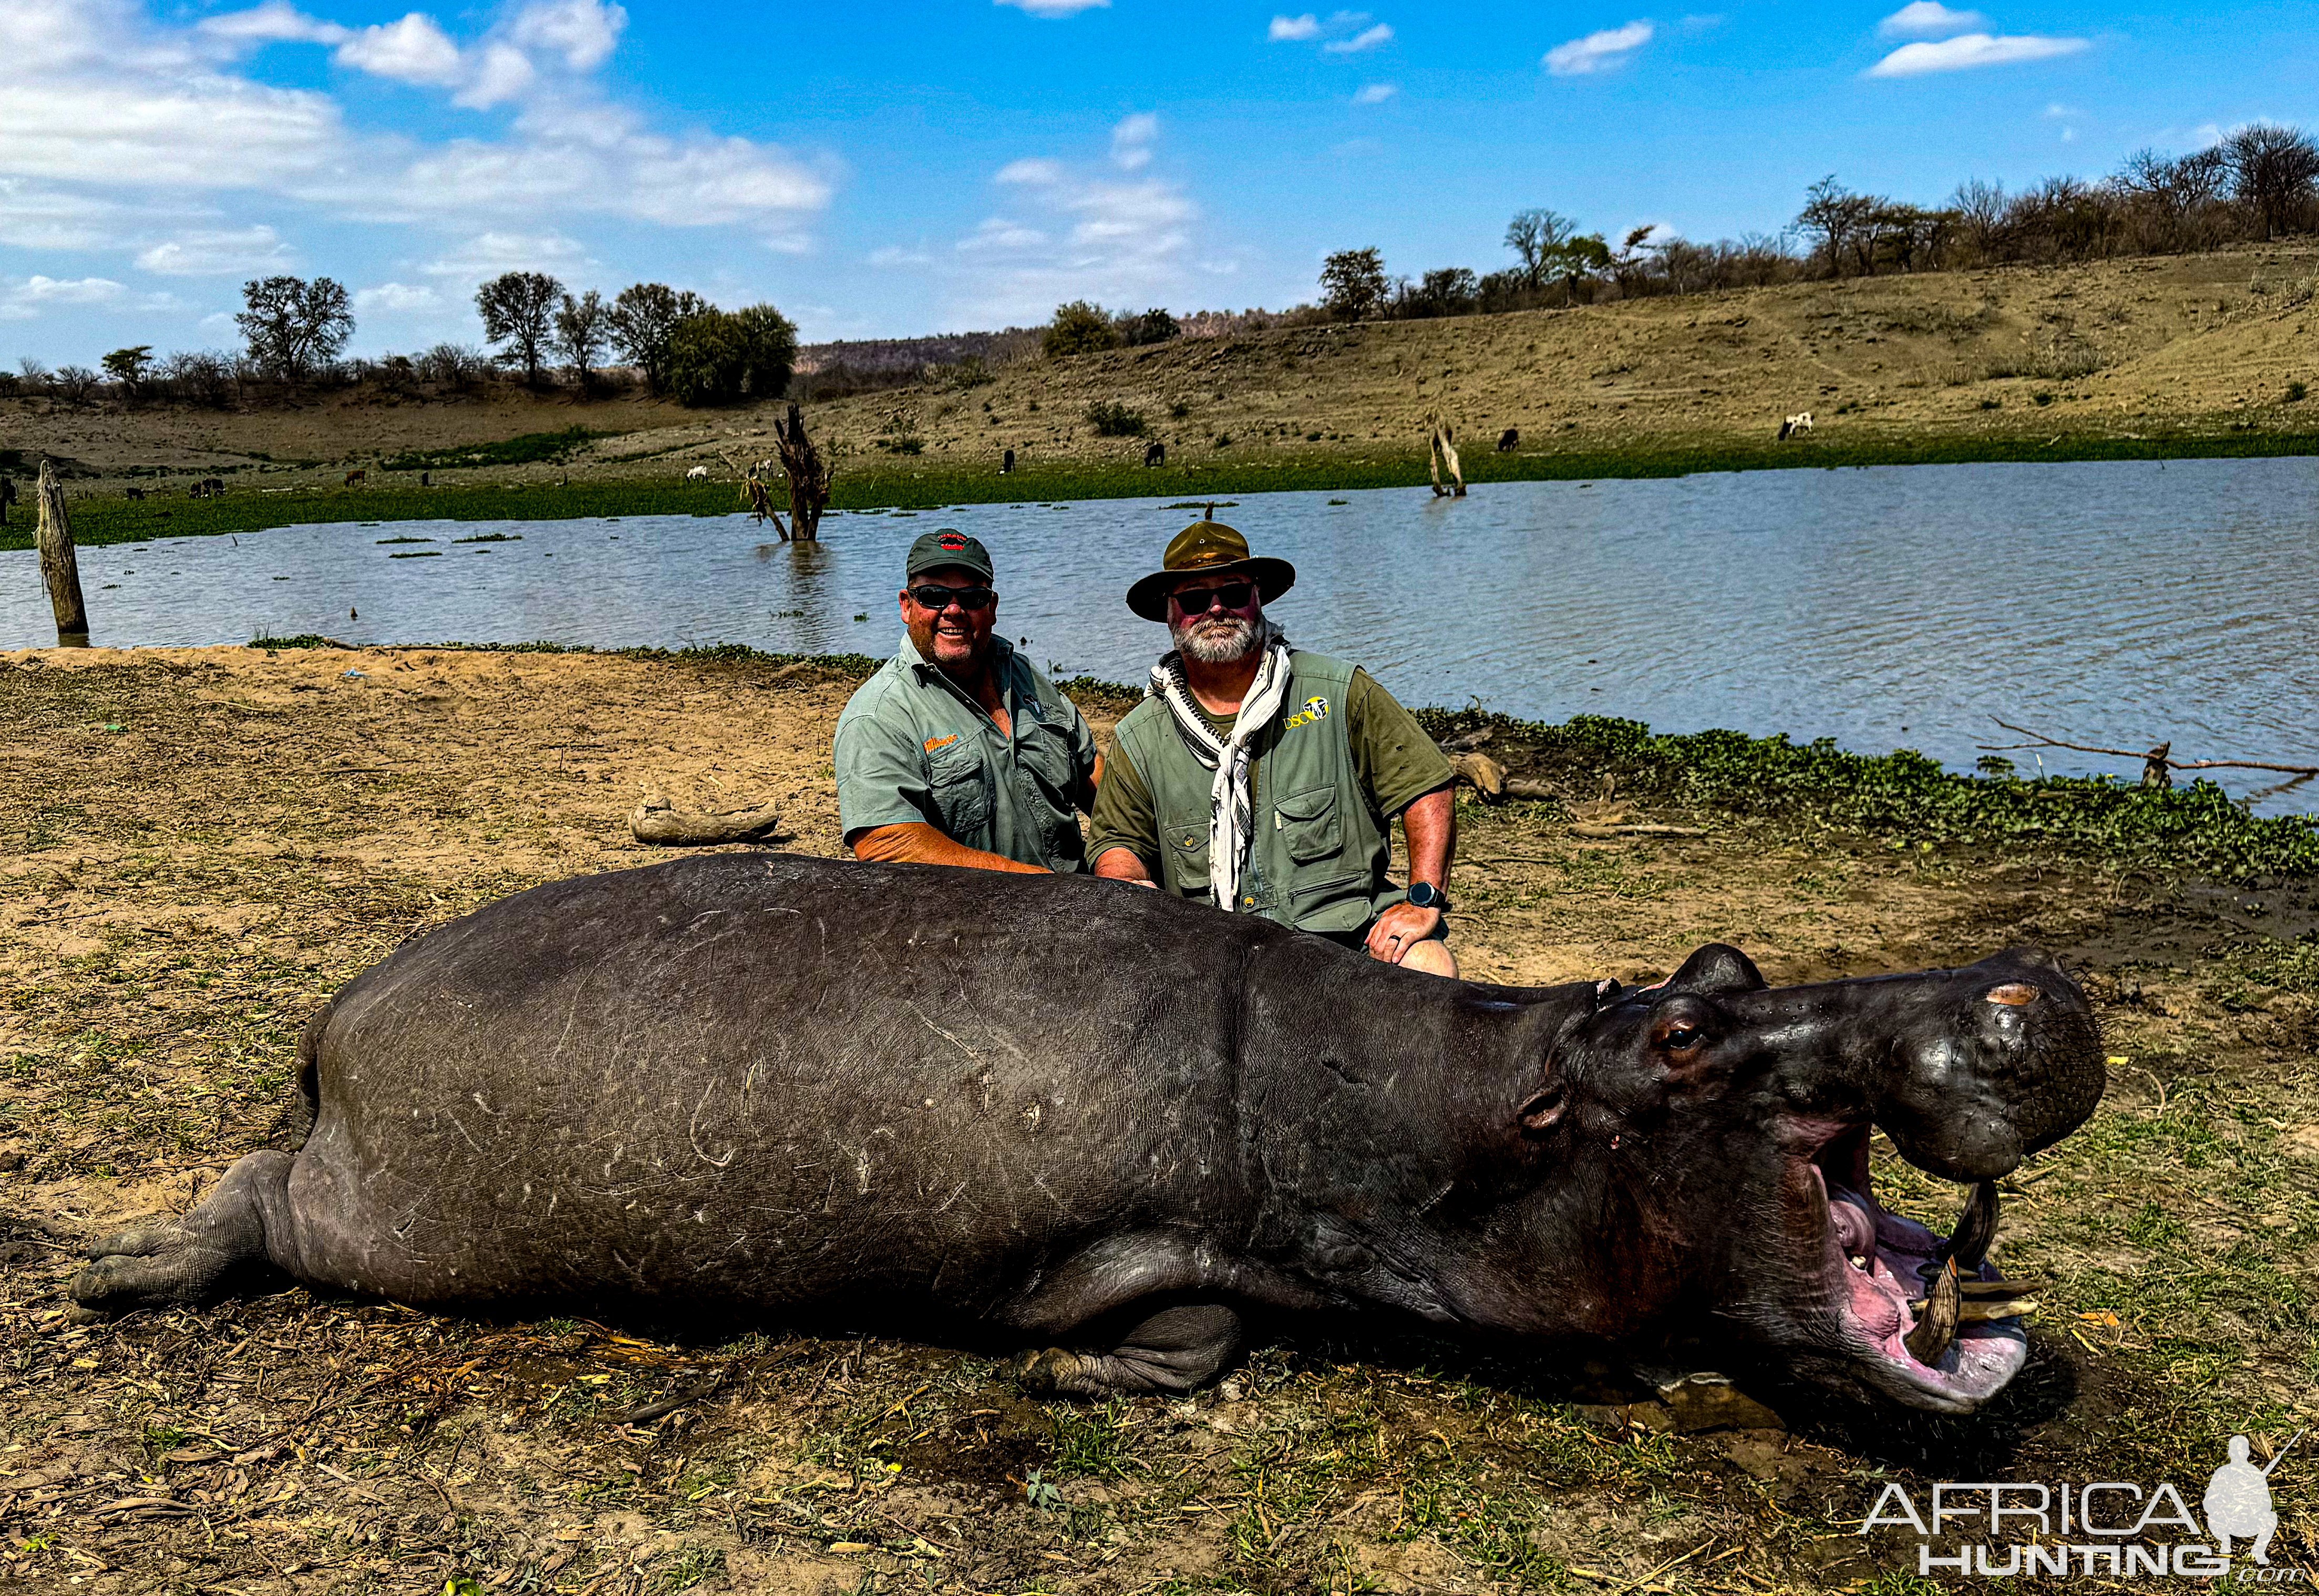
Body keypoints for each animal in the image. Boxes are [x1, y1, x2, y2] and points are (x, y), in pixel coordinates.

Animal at [68, 853, 2106, 1419]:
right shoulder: (1125, 1245)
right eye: (1686, 1033)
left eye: (1724, 962)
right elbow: (1185, 1324)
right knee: (247, 1200)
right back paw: (109, 1275)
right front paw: (1082, 1381)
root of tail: (336, 1009)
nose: (2019, 982)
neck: (1460, 1100)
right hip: (380, 1213)